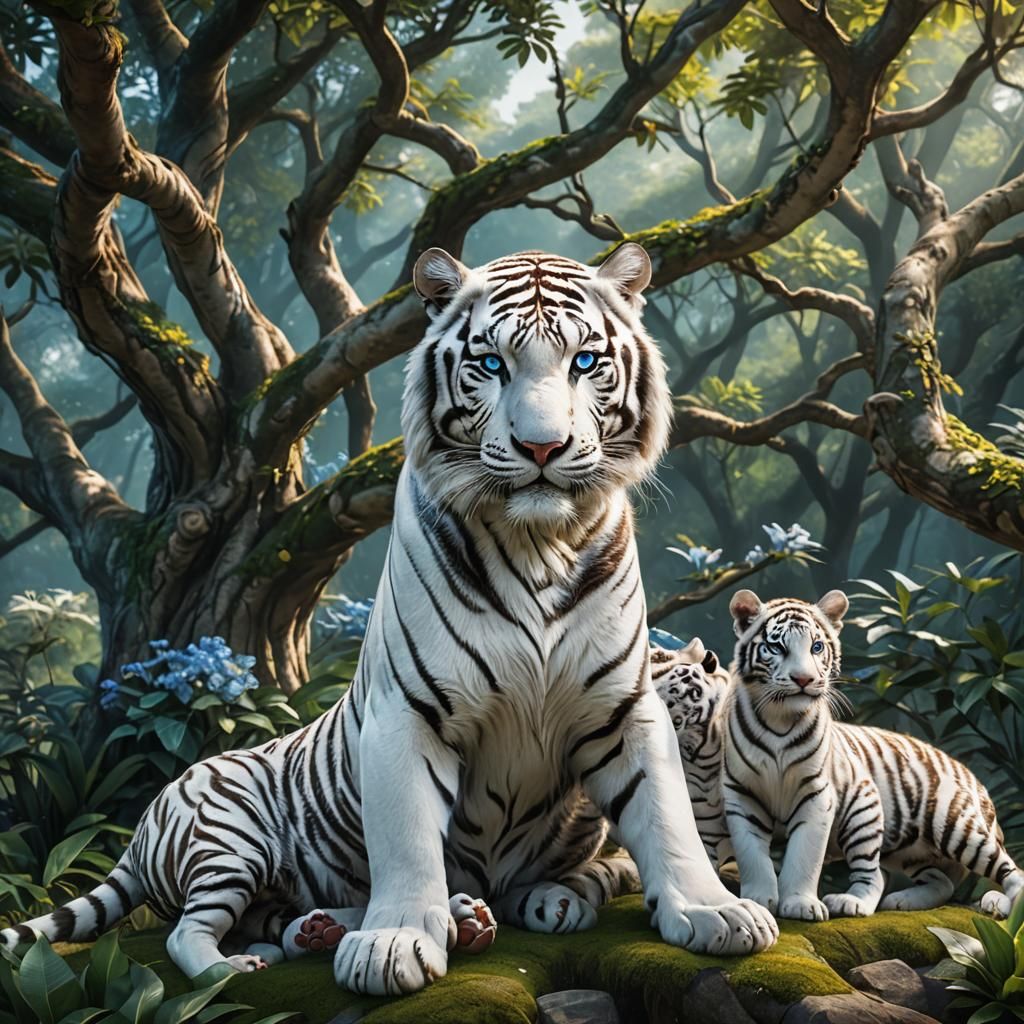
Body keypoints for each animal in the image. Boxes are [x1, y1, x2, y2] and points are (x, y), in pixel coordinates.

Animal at [1, 244, 777, 996]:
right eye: (491, 364)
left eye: (585, 362)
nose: (542, 448)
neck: (538, 544)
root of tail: (138, 829)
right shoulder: (407, 710)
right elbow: (406, 840)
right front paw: (395, 945)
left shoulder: (624, 708)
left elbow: (665, 817)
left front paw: (715, 911)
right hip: (229, 838)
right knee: (188, 930)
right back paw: (247, 967)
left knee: (275, 918)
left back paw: (399, 924)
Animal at [722, 588, 1024, 921]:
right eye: (776, 647)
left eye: (816, 647)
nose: (803, 679)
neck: (779, 719)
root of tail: (974, 778)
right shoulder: (742, 795)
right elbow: (752, 855)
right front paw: (758, 901)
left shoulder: (818, 795)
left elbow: (805, 854)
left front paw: (801, 904)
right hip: (907, 849)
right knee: (938, 880)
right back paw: (901, 901)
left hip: (933, 822)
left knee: (1008, 871)